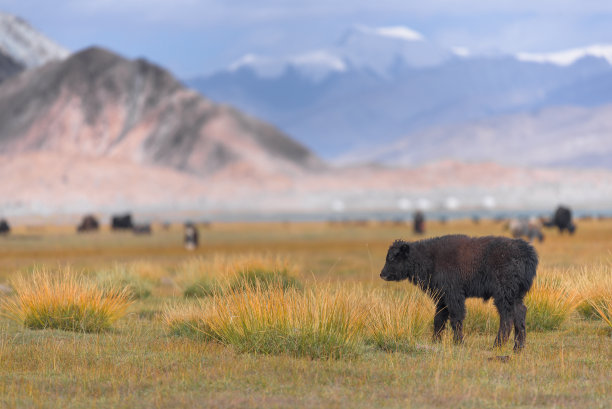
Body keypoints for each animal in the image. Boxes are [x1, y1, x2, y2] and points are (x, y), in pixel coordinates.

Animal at [380, 234, 536, 350]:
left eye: (393, 257)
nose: (382, 274)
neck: (429, 257)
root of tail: (526, 251)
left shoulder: (453, 296)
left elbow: (456, 318)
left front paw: (459, 342)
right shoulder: (442, 298)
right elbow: (439, 319)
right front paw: (435, 341)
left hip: (503, 295)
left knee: (506, 317)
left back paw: (497, 345)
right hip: (515, 296)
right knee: (520, 313)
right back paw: (518, 347)